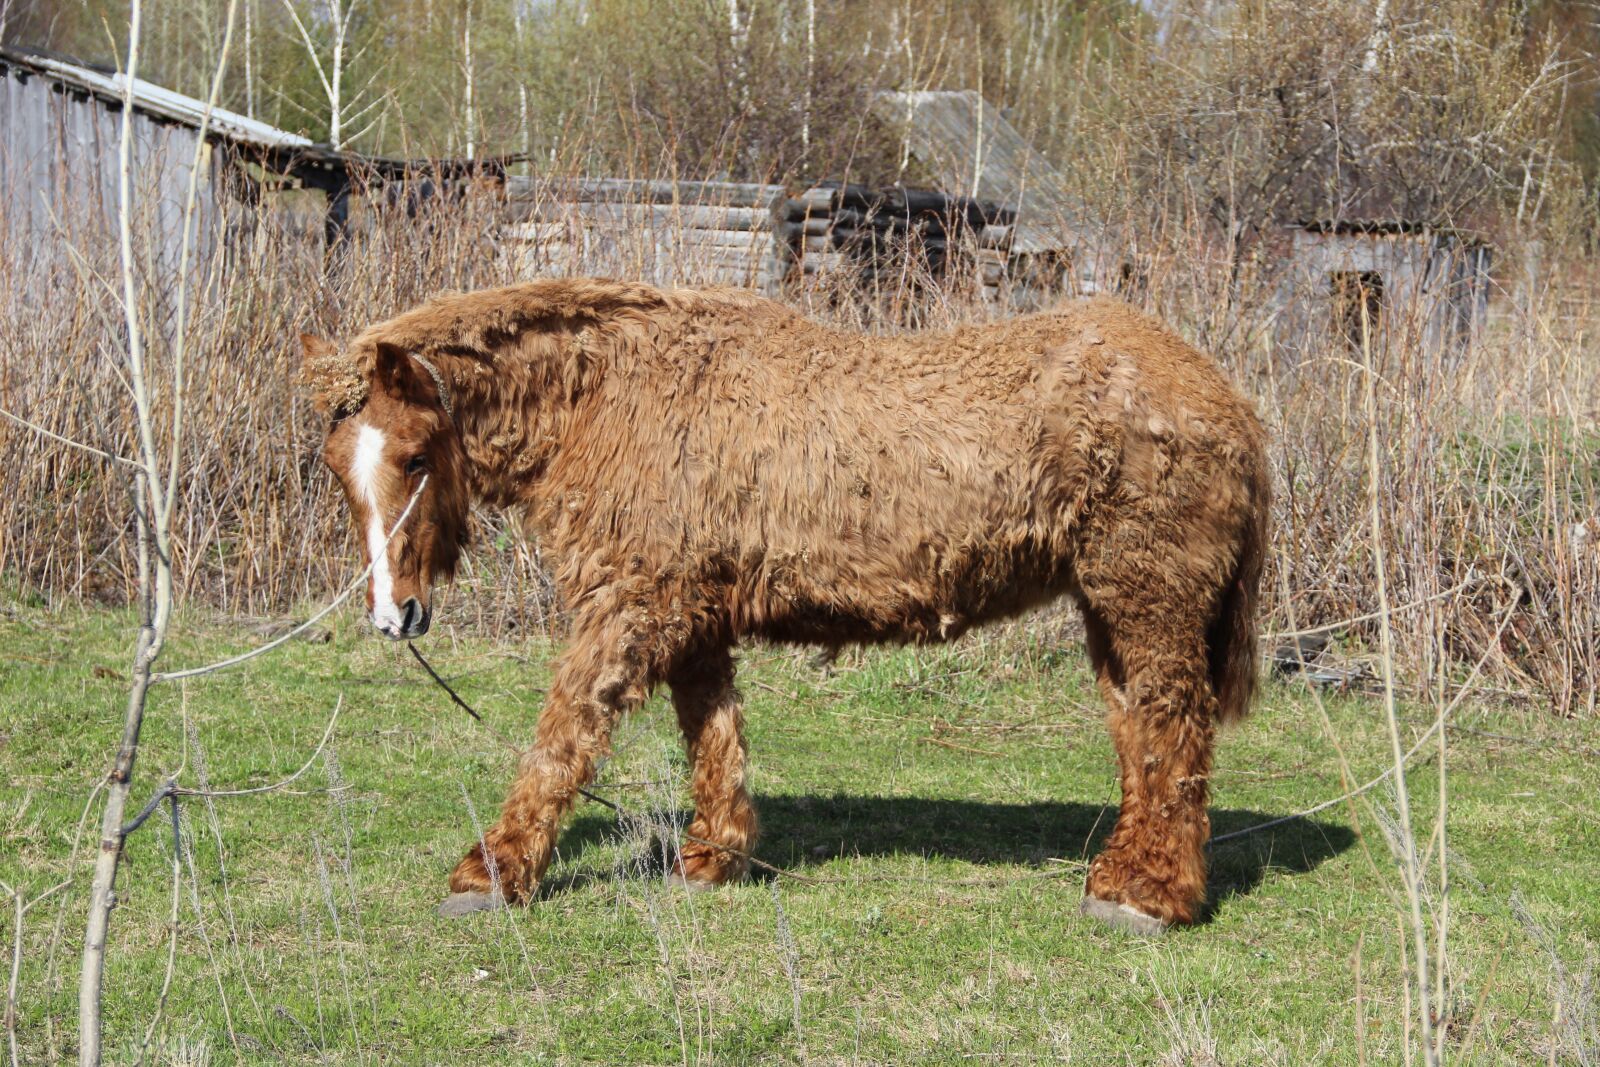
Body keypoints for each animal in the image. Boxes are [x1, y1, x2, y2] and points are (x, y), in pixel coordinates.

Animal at [299, 277, 1270, 934]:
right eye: (339, 464)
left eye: (415, 456)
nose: (393, 614)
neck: (615, 396)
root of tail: (1227, 397)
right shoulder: (693, 617)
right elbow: (712, 734)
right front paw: (713, 855)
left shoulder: (630, 608)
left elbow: (562, 738)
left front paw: (492, 870)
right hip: (1111, 610)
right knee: (1142, 737)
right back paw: (1123, 874)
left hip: (1148, 600)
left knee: (1175, 726)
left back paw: (1154, 894)